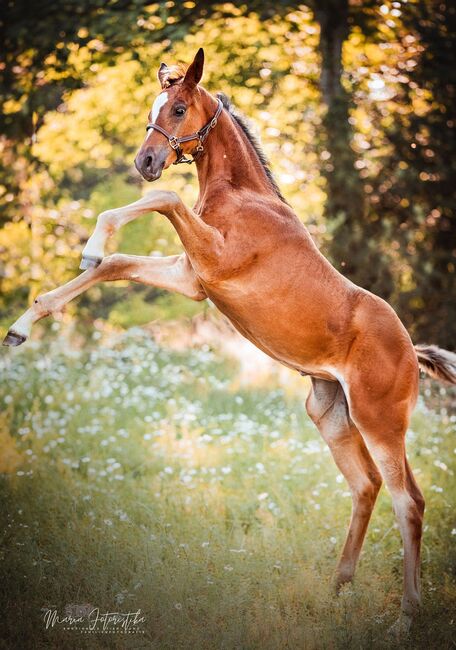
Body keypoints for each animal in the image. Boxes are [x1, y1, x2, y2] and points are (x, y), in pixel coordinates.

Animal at [4, 48, 456, 632]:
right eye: (153, 108)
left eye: (177, 108)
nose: (144, 161)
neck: (243, 197)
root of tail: (410, 351)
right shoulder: (193, 276)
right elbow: (116, 264)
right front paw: (24, 322)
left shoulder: (210, 261)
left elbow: (164, 198)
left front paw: (90, 244)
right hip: (332, 417)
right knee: (366, 488)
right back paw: (337, 588)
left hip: (381, 422)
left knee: (409, 503)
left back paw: (405, 616)